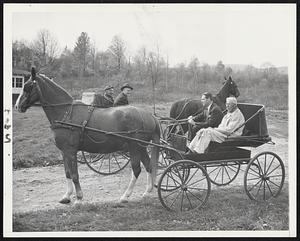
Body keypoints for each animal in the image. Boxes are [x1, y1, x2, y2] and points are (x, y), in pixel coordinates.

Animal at [15, 67, 162, 204]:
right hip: (141, 148)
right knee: (149, 166)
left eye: (28, 86)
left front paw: (79, 198)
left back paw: (125, 196)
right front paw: (67, 196)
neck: (66, 113)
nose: (17, 106)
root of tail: (149, 115)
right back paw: (147, 192)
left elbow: (74, 174)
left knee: (136, 170)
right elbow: (67, 173)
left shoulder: (71, 151)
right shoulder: (64, 152)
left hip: (134, 148)